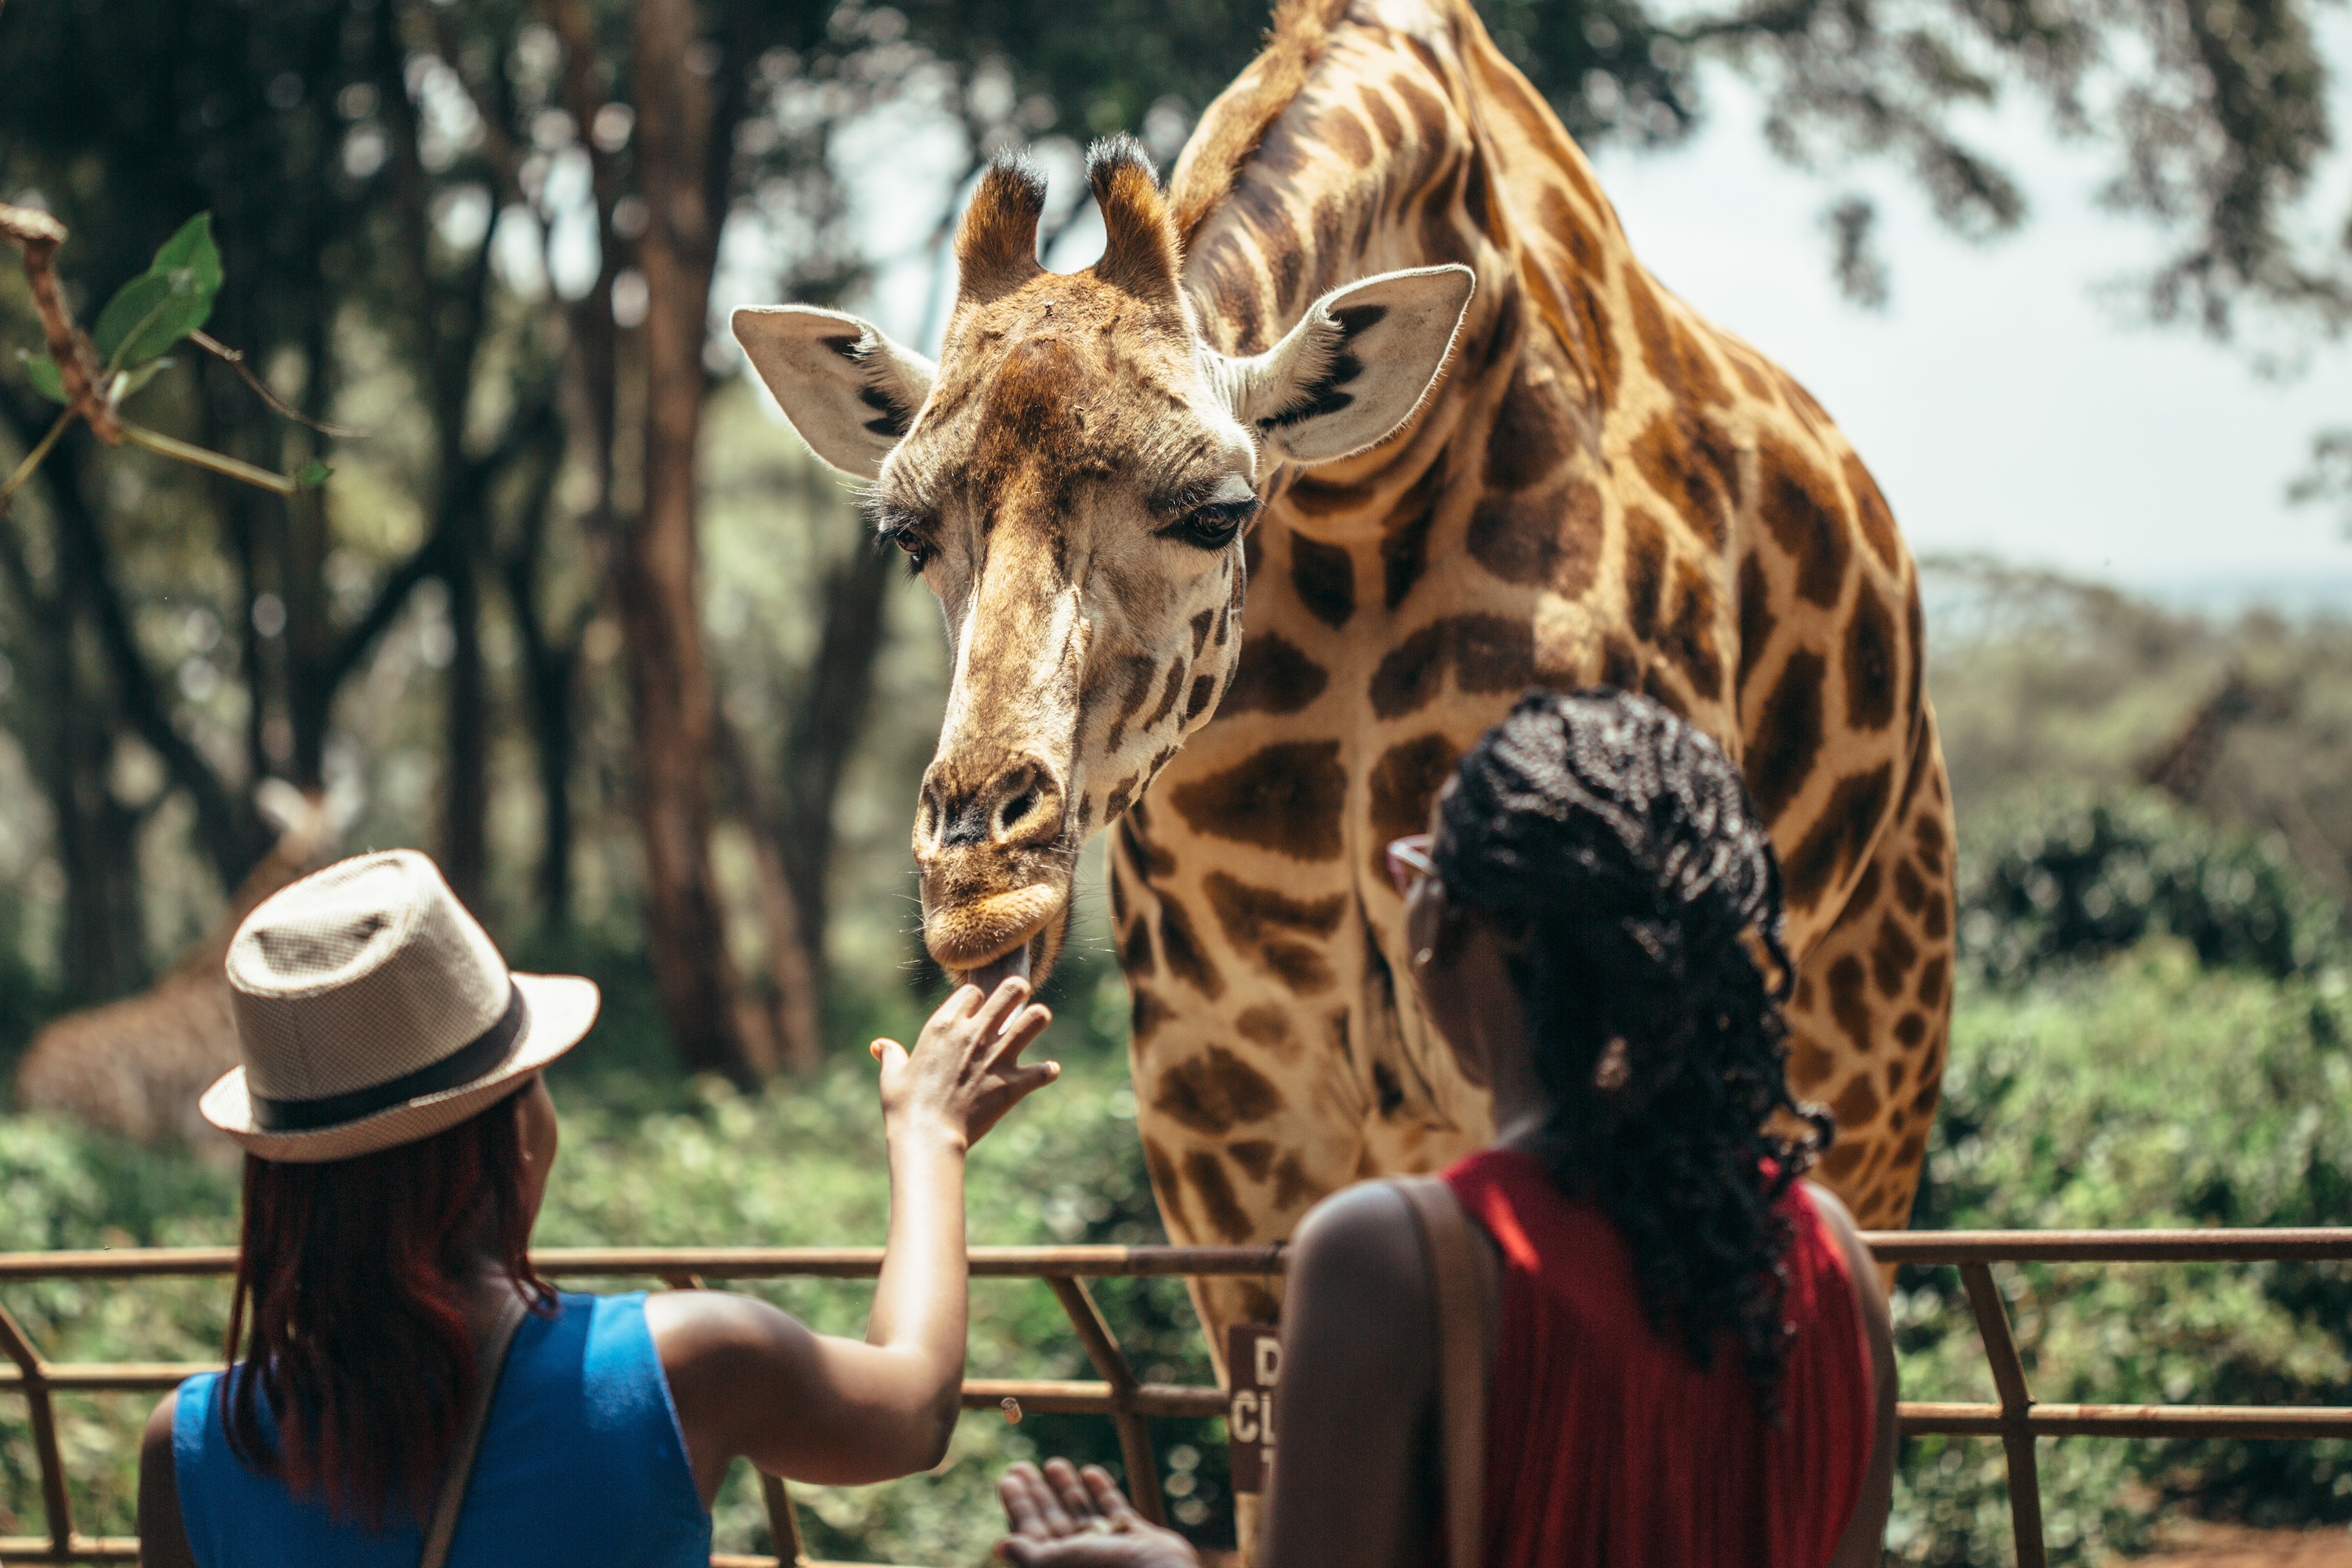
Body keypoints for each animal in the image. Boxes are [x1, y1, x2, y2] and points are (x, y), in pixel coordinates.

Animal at [743, 0, 1957, 1382]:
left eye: (1217, 511)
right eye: (905, 534)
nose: (979, 884)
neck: (1366, 506)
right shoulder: (1227, 1099)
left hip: (1871, 1061)